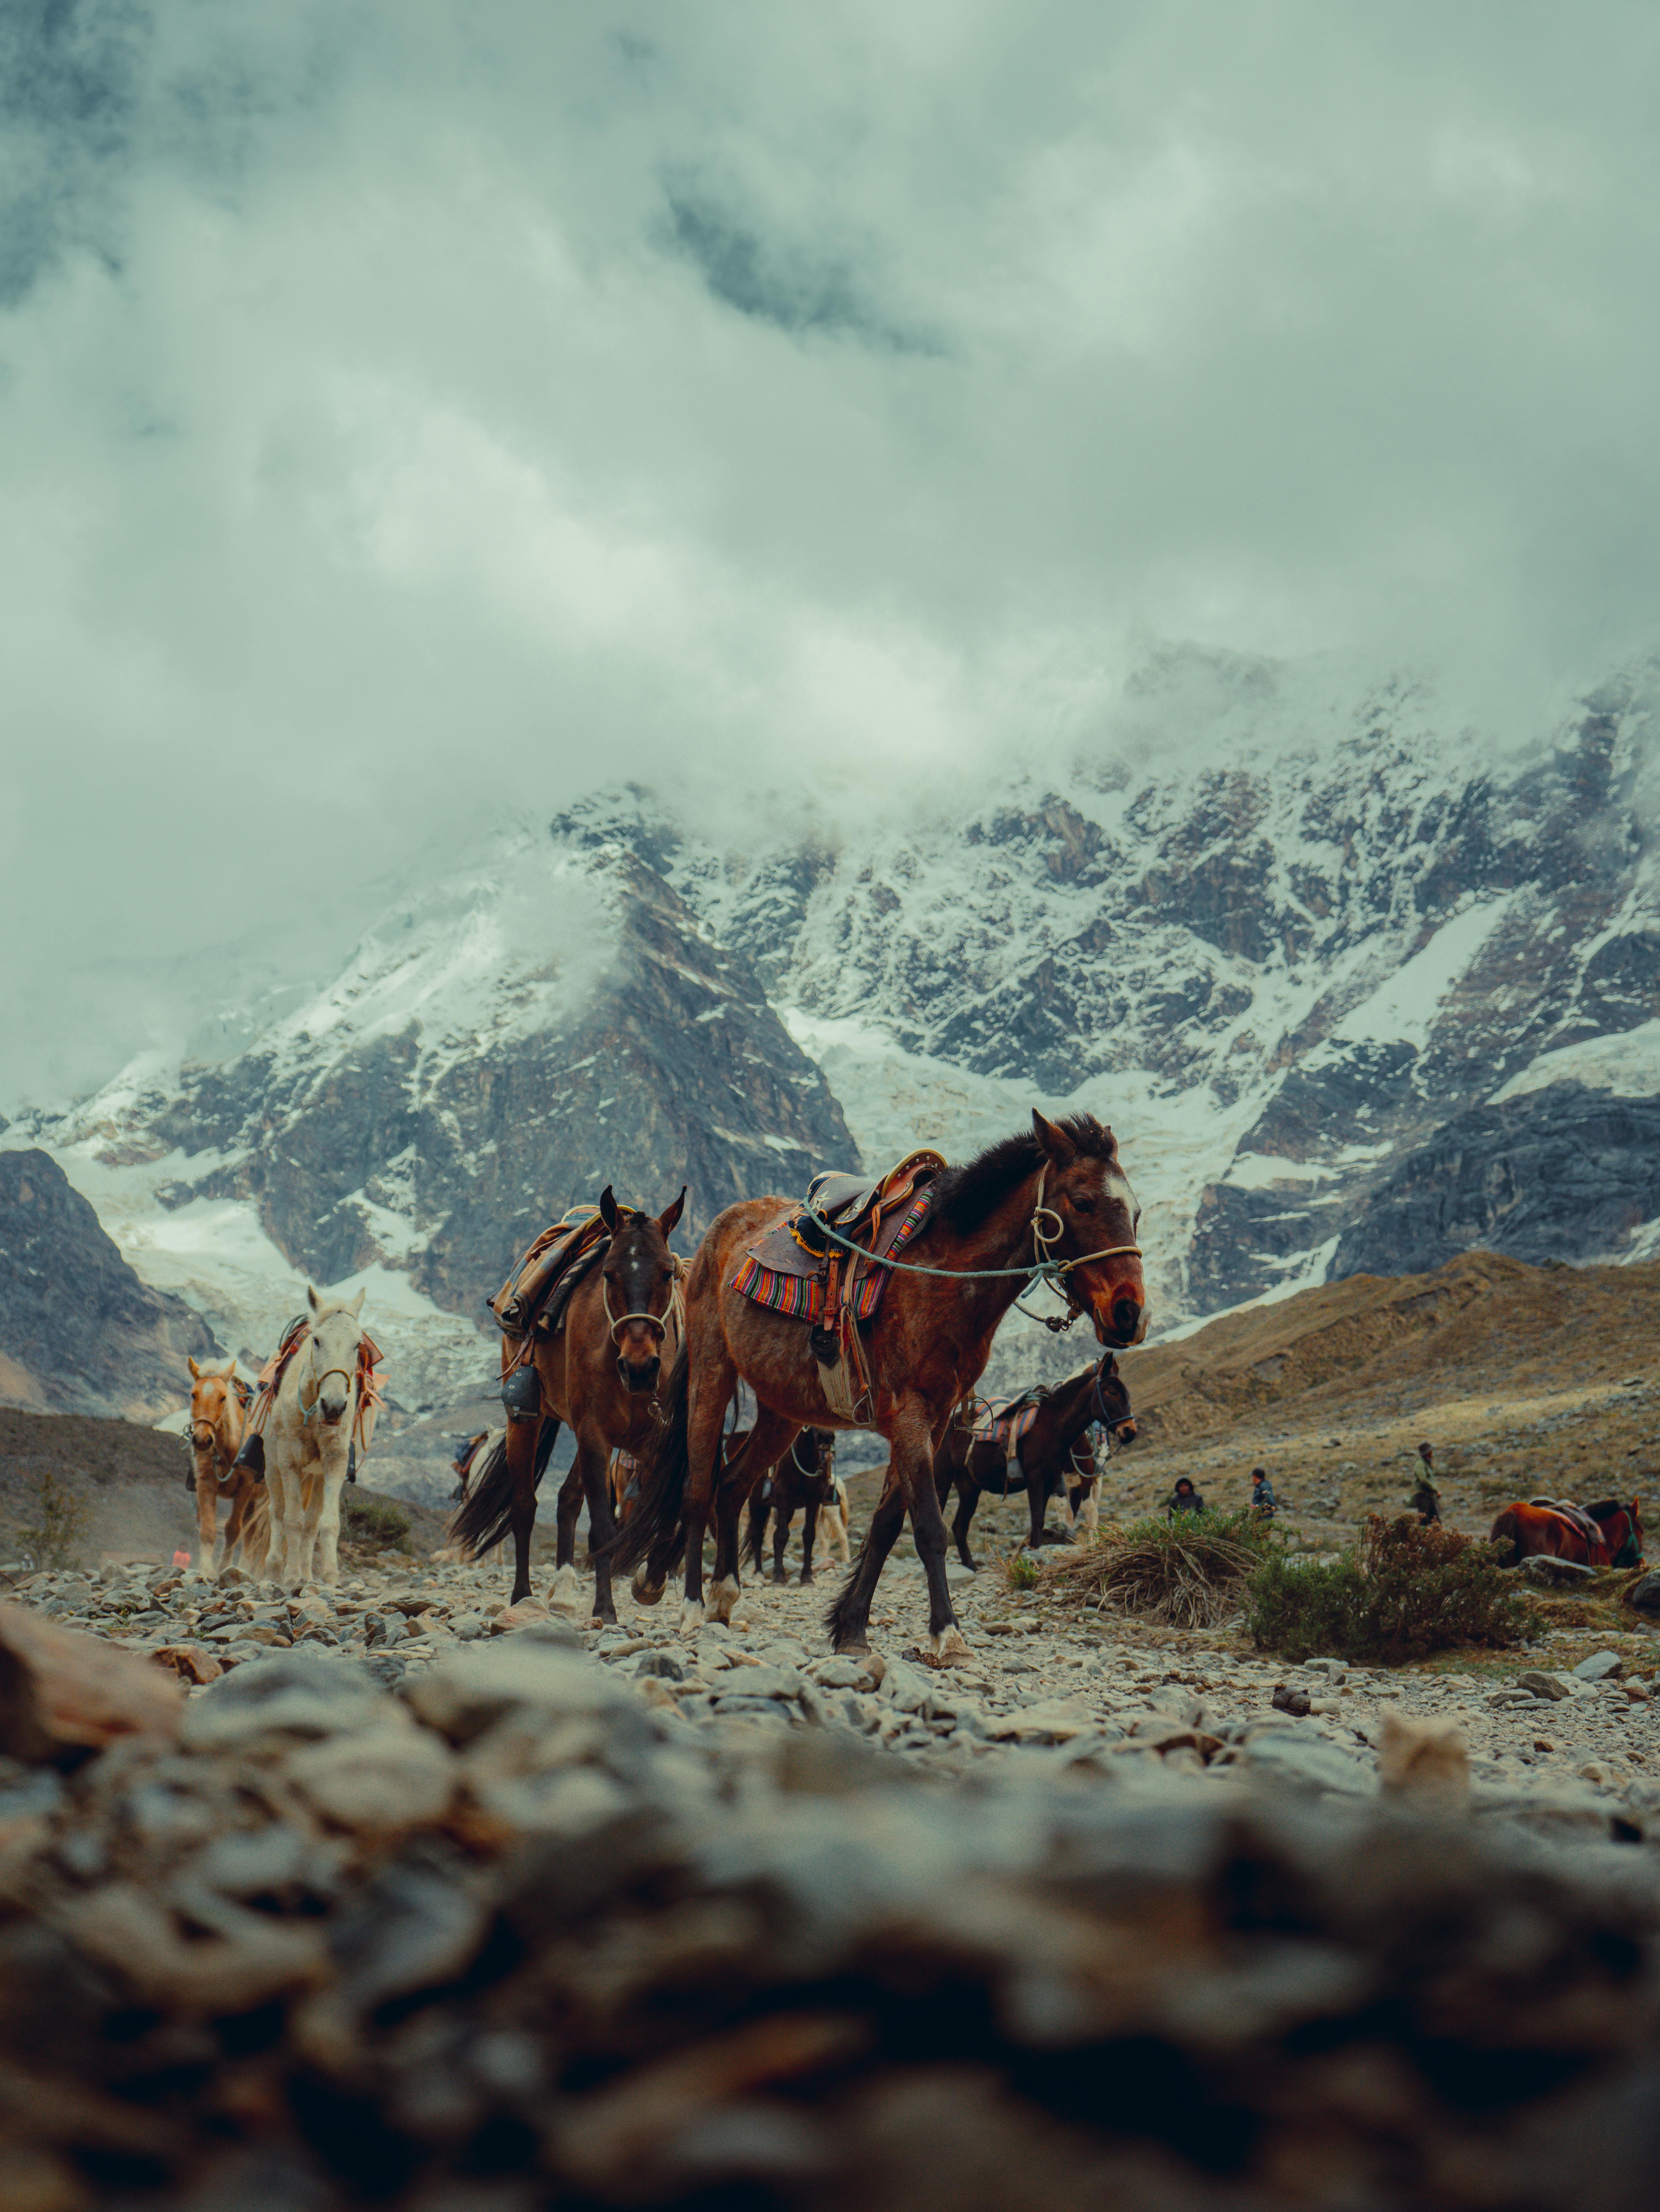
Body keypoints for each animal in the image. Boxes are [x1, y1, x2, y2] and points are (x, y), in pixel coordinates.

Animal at [183, 1354, 267, 1584]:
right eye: (193, 1395)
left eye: (222, 1397)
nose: (202, 1440)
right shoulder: (206, 1485)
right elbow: (208, 1529)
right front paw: (206, 1569)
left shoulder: (245, 1489)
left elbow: (232, 1529)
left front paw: (224, 1567)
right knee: (252, 1533)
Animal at [263, 1292, 369, 1601]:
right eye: (318, 1341)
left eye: (357, 1344)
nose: (333, 1407)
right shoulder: (289, 1463)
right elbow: (292, 1520)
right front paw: (290, 1578)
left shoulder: (335, 1463)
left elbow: (328, 1523)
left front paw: (331, 1579)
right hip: (272, 1467)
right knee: (277, 1513)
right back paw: (274, 1572)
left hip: (317, 1477)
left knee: (311, 1525)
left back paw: (308, 1576)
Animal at [448, 1186, 689, 1619]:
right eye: (609, 1273)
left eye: (667, 1272)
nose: (640, 1367)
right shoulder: (594, 1433)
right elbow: (603, 1526)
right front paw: (606, 1608)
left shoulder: (655, 1439)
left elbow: (666, 1511)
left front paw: (650, 1582)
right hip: (529, 1422)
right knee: (524, 1505)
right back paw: (523, 1594)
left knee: (566, 1499)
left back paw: (561, 1590)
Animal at [619, 1115, 1149, 1654]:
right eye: (1082, 1202)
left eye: (1137, 1211)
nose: (1130, 1314)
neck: (944, 1273)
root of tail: (715, 1236)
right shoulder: (909, 1412)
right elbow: (930, 1527)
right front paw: (947, 1635)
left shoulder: (933, 1420)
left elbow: (888, 1523)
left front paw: (851, 1627)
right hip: (712, 1375)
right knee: (699, 1489)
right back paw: (690, 1606)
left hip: (781, 1413)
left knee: (731, 1487)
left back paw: (723, 1598)